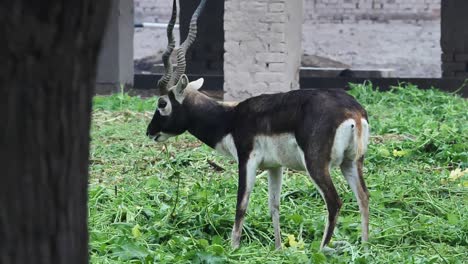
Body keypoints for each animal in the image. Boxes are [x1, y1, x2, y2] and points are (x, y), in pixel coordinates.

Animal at [146, 0, 370, 250]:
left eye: (162, 103)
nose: (150, 131)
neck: (230, 119)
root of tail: (352, 112)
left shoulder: (247, 160)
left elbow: (241, 205)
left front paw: (233, 249)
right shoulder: (275, 166)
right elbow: (274, 206)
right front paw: (279, 249)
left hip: (316, 165)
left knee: (335, 201)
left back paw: (322, 249)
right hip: (352, 162)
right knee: (364, 197)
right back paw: (365, 247)